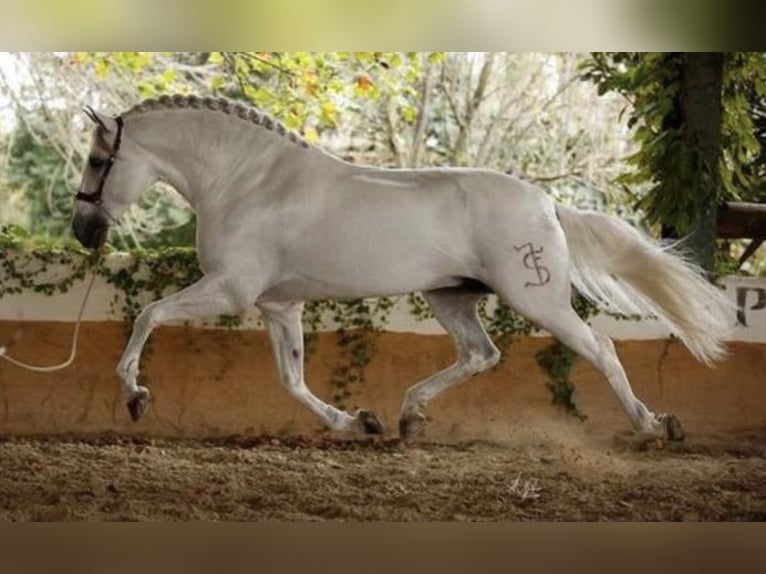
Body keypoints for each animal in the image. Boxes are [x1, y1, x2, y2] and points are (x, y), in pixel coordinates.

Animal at [73, 97, 736, 444]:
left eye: (100, 161)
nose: (82, 230)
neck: (248, 181)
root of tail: (547, 201)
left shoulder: (231, 291)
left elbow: (149, 314)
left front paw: (135, 395)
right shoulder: (279, 305)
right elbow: (292, 380)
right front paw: (354, 422)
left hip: (538, 300)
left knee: (601, 349)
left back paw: (653, 426)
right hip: (451, 297)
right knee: (481, 354)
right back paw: (408, 415)